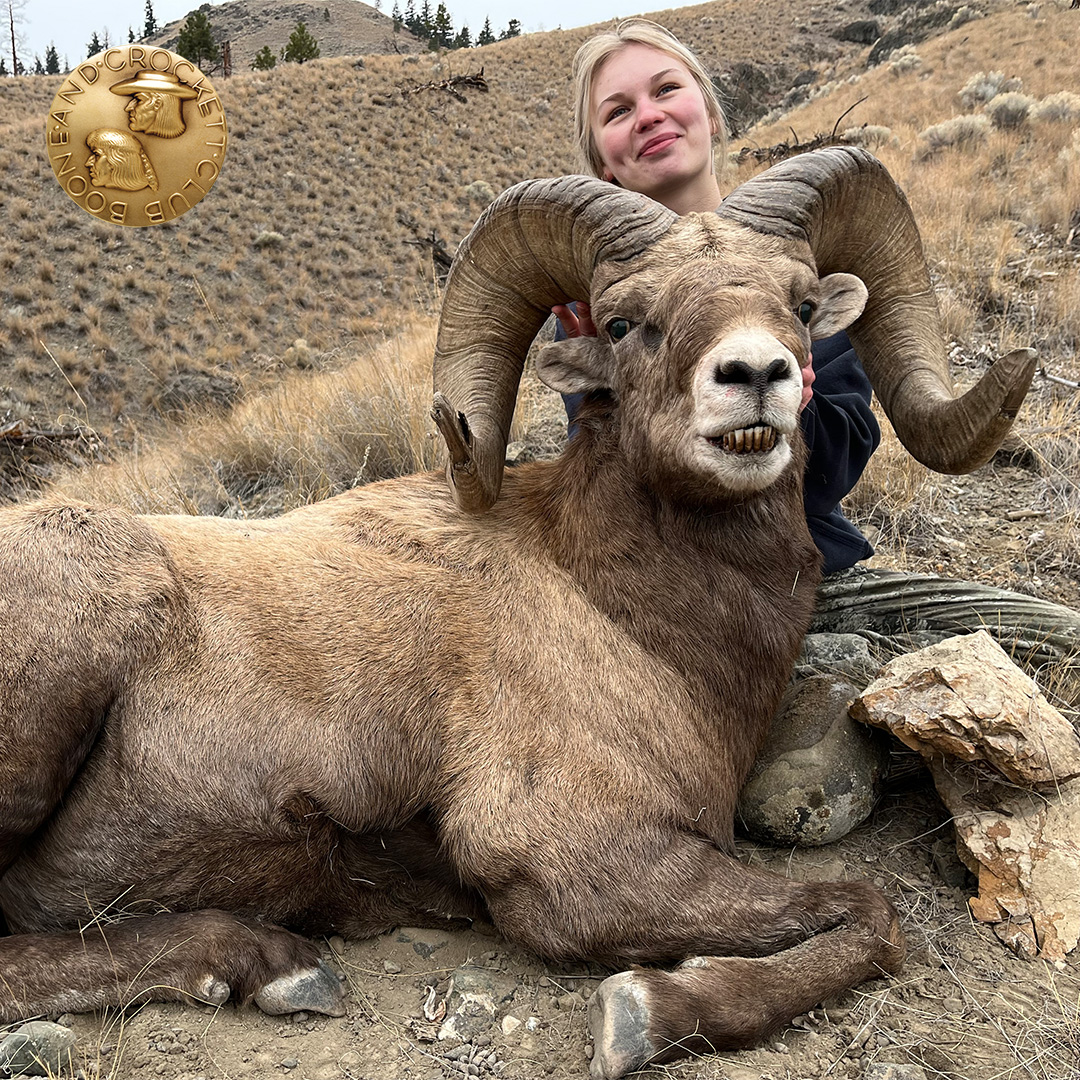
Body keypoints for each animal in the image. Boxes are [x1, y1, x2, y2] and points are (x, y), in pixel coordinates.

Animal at [0, 148, 1034, 1079]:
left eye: (805, 306)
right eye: (626, 321)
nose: (755, 375)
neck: (625, 612)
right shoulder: (587, 869)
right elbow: (872, 914)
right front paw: (645, 1016)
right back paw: (274, 964)